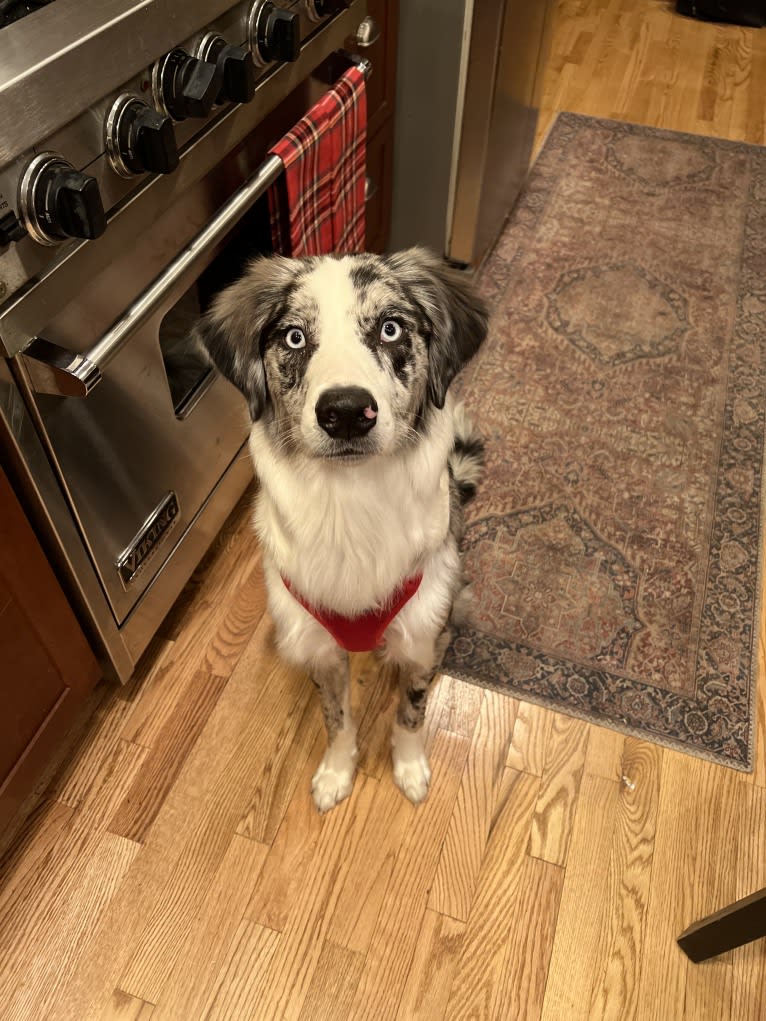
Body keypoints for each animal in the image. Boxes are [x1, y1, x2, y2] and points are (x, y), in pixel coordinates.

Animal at [195, 247, 488, 812]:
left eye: (391, 328)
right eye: (294, 337)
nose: (347, 412)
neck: (351, 508)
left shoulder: (422, 636)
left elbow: (411, 712)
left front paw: (410, 768)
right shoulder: (320, 647)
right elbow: (336, 718)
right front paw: (336, 772)